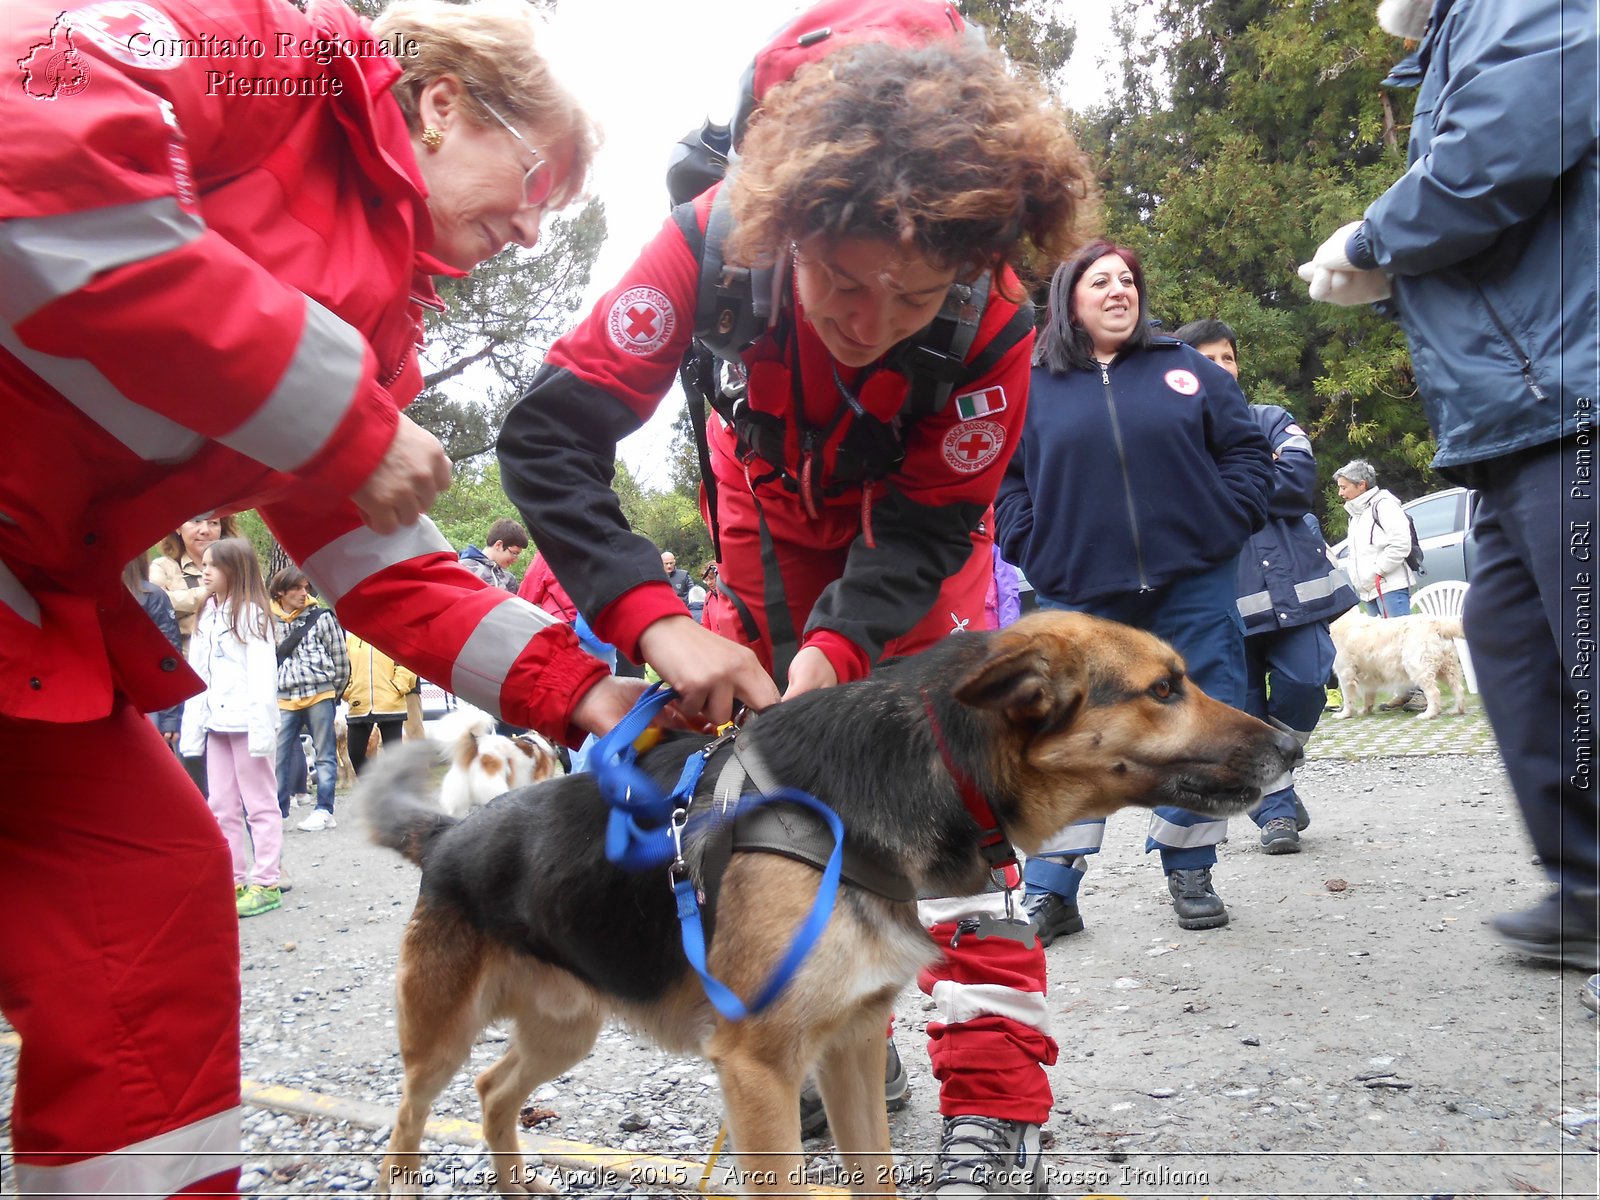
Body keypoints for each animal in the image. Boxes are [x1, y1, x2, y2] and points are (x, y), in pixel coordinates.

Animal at [360, 614, 1299, 1196]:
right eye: (1165, 688)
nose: (1293, 742)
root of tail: (448, 836)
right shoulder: (759, 1070)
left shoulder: (848, 1043)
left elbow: (875, 1177)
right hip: (439, 1036)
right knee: (408, 1118)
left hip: (568, 1025)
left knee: (493, 1089)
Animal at [1331, 611, 1465, 723]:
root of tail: (1437, 622)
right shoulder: (1369, 674)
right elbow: (1368, 696)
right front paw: (1365, 711)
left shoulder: (1345, 673)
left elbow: (1348, 698)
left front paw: (1344, 714)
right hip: (1448, 667)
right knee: (1458, 688)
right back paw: (1456, 710)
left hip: (1417, 667)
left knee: (1433, 692)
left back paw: (1428, 714)